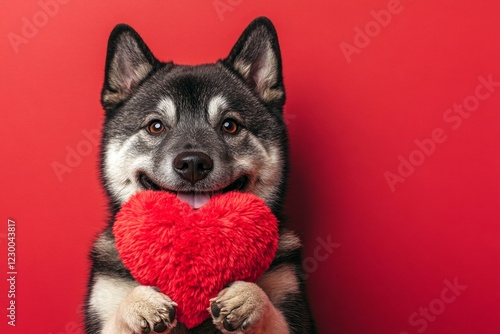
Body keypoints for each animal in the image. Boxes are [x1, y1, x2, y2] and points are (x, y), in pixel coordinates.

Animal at [83, 16, 314, 334]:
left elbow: (267, 305)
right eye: (156, 126)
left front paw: (248, 297)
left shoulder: (292, 305)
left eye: (230, 125)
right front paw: (140, 302)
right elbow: (121, 309)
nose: (193, 163)